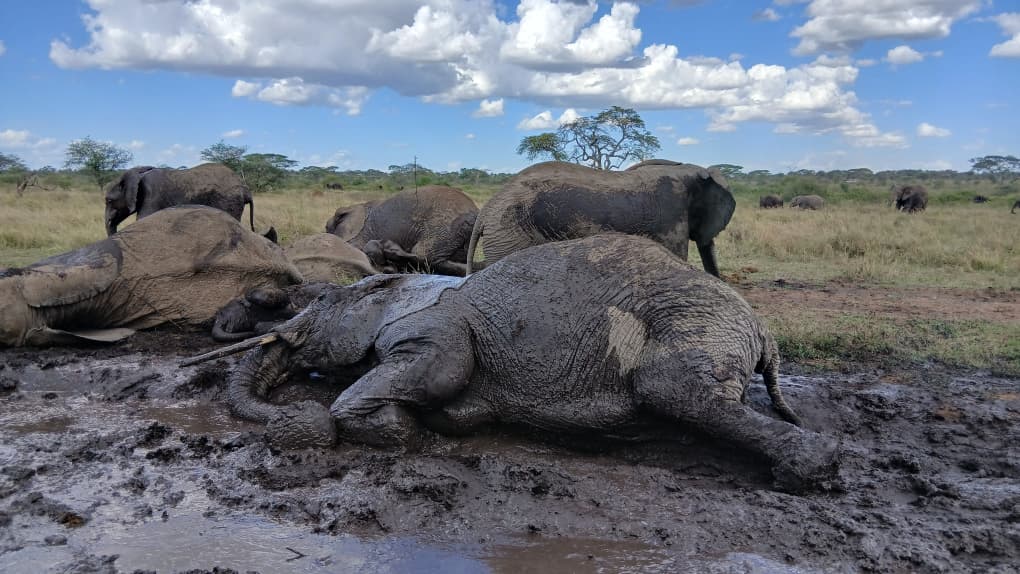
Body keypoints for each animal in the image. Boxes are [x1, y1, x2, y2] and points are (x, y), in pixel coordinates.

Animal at [205, 233, 839, 492]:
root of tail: (761, 328)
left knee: (679, 392)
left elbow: (442, 371)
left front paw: (403, 432)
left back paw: (811, 470)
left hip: (692, 328)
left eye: (317, 304)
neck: (403, 283)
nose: (287, 413)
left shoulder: (437, 328)